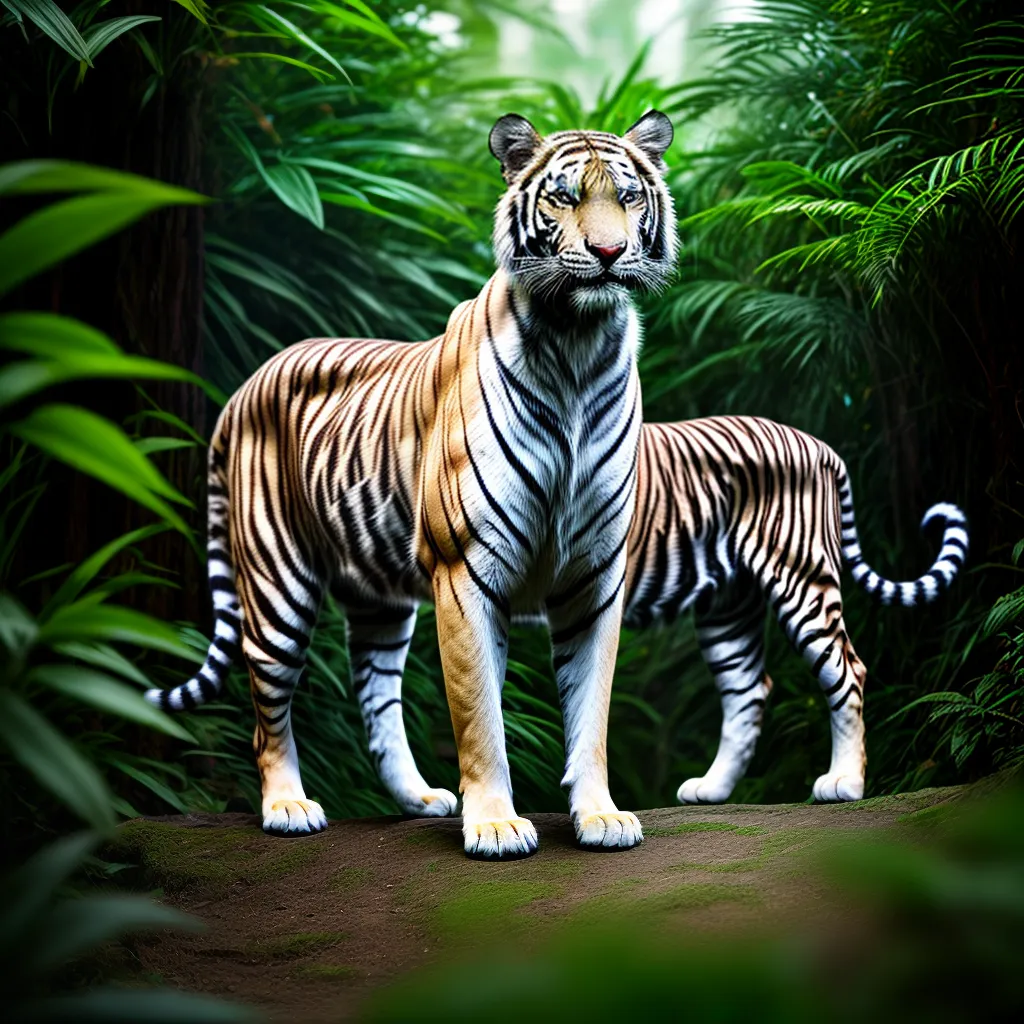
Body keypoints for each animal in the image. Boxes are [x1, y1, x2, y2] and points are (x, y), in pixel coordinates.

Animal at [146, 111, 679, 860]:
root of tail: (247, 383)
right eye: (565, 196)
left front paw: (600, 816)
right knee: (267, 711)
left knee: (374, 699)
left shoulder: (596, 573)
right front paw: (495, 824)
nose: (609, 250)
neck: (579, 343)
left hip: (378, 601)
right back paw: (288, 807)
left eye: (628, 197)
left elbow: (590, 710)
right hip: (278, 586)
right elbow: (479, 712)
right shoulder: (465, 568)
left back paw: (418, 799)